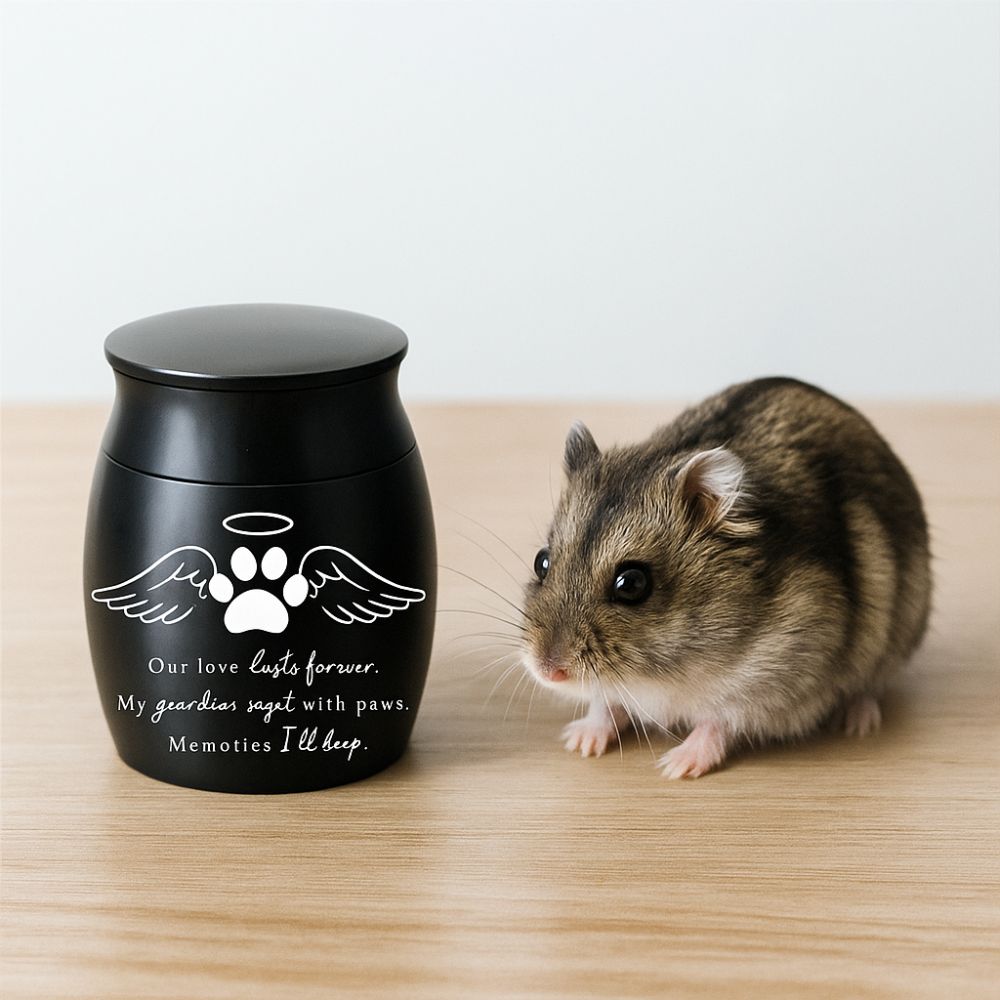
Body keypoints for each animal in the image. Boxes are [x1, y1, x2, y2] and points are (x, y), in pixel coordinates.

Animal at [521, 377, 931, 778]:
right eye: (542, 562)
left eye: (632, 584)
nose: (547, 670)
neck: (662, 674)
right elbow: (606, 703)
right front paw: (579, 742)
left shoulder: (771, 681)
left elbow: (718, 722)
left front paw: (675, 767)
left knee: (869, 686)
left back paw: (858, 723)